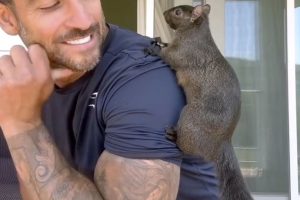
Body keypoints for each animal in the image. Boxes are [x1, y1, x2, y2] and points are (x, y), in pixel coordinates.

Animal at [158, 4, 254, 200]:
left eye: (178, 12)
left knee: (186, 148)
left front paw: (152, 48)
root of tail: (222, 142)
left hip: (190, 118)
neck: (194, 32)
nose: (164, 13)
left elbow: (168, 56)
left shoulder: (184, 53)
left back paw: (174, 136)